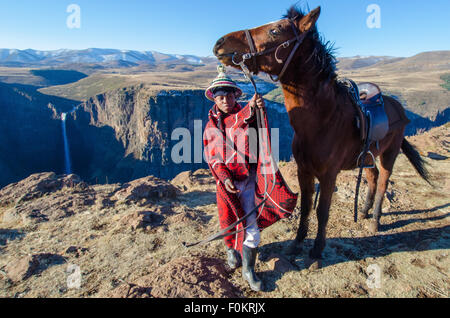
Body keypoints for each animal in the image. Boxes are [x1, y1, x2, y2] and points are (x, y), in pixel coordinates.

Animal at [213, 5, 430, 264]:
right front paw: (297, 243)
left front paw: (317, 251)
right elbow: (306, 206)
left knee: (383, 181)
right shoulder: (304, 170)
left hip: (391, 152)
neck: (321, 121)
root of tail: (397, 107)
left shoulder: (328, 175)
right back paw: (364, 211)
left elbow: (322, 210)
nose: (220, 42)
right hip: (368, 156)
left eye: (276, 30)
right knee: (373, 176)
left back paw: (375, 220)